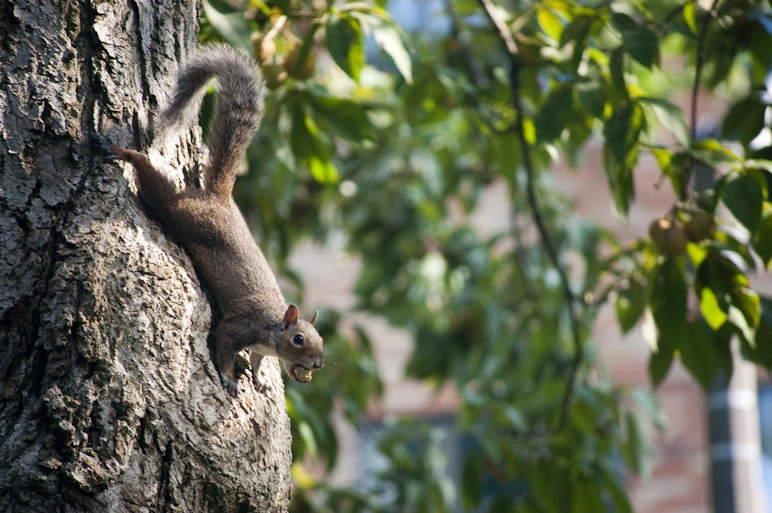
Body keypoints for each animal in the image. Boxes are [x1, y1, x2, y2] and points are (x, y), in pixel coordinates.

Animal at [92, 45, 324, 396]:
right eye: (299, 339)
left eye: (320, 340)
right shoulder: (239, 327)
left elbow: (257, 361)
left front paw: (259, 379)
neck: (272, 329)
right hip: (183, 212)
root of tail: (219, 199)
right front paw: (228, 378)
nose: (318, 364)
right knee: (152, 181)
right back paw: (124, 153)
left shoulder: (259, 348)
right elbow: (225, 347)